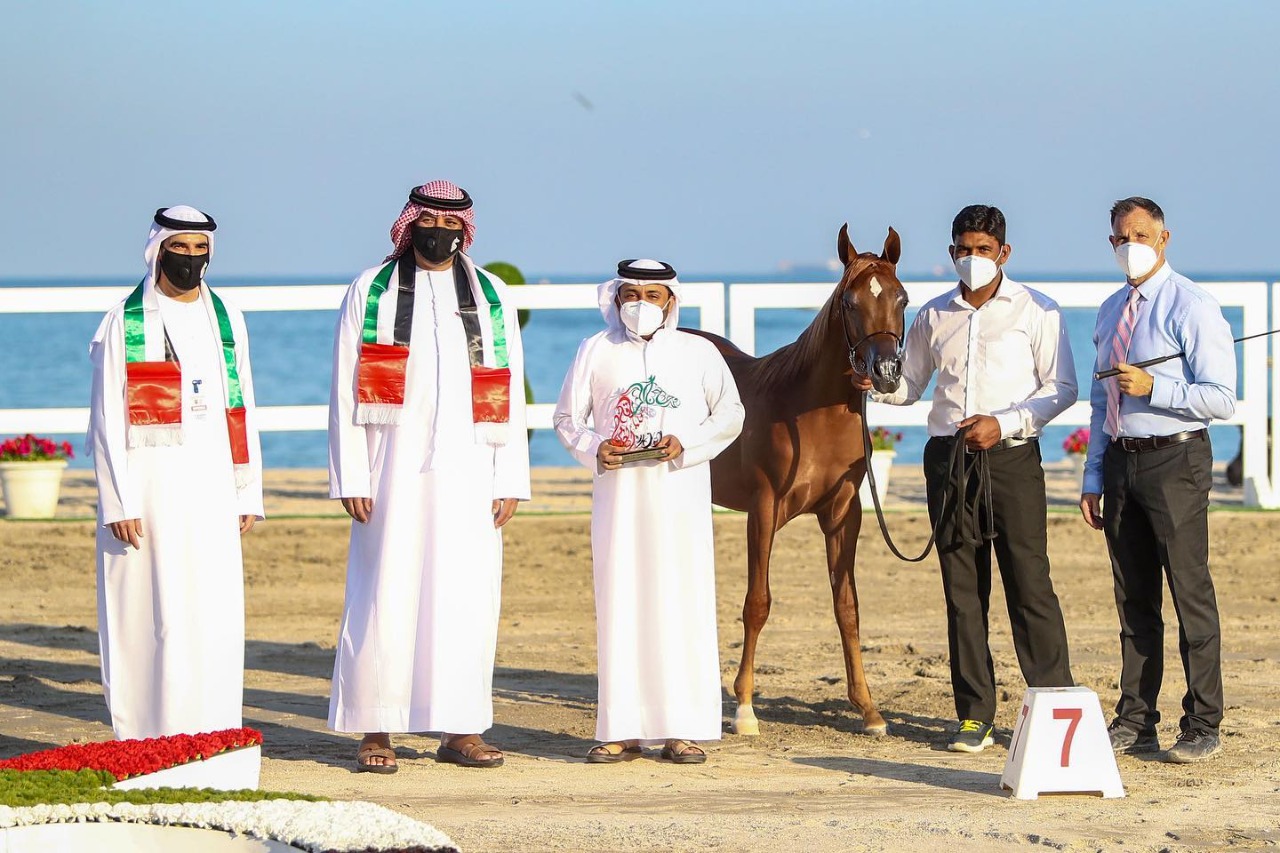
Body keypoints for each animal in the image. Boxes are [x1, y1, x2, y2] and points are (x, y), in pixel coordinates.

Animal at [691, 227, 911, 737]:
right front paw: (745, 710)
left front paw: (869, 711)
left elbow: (847, 607)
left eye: (902, 297)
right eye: (849, 302)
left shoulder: (844, 513)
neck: (807, 412)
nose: (886, 374)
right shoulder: (764, 508)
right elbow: (757, 603)